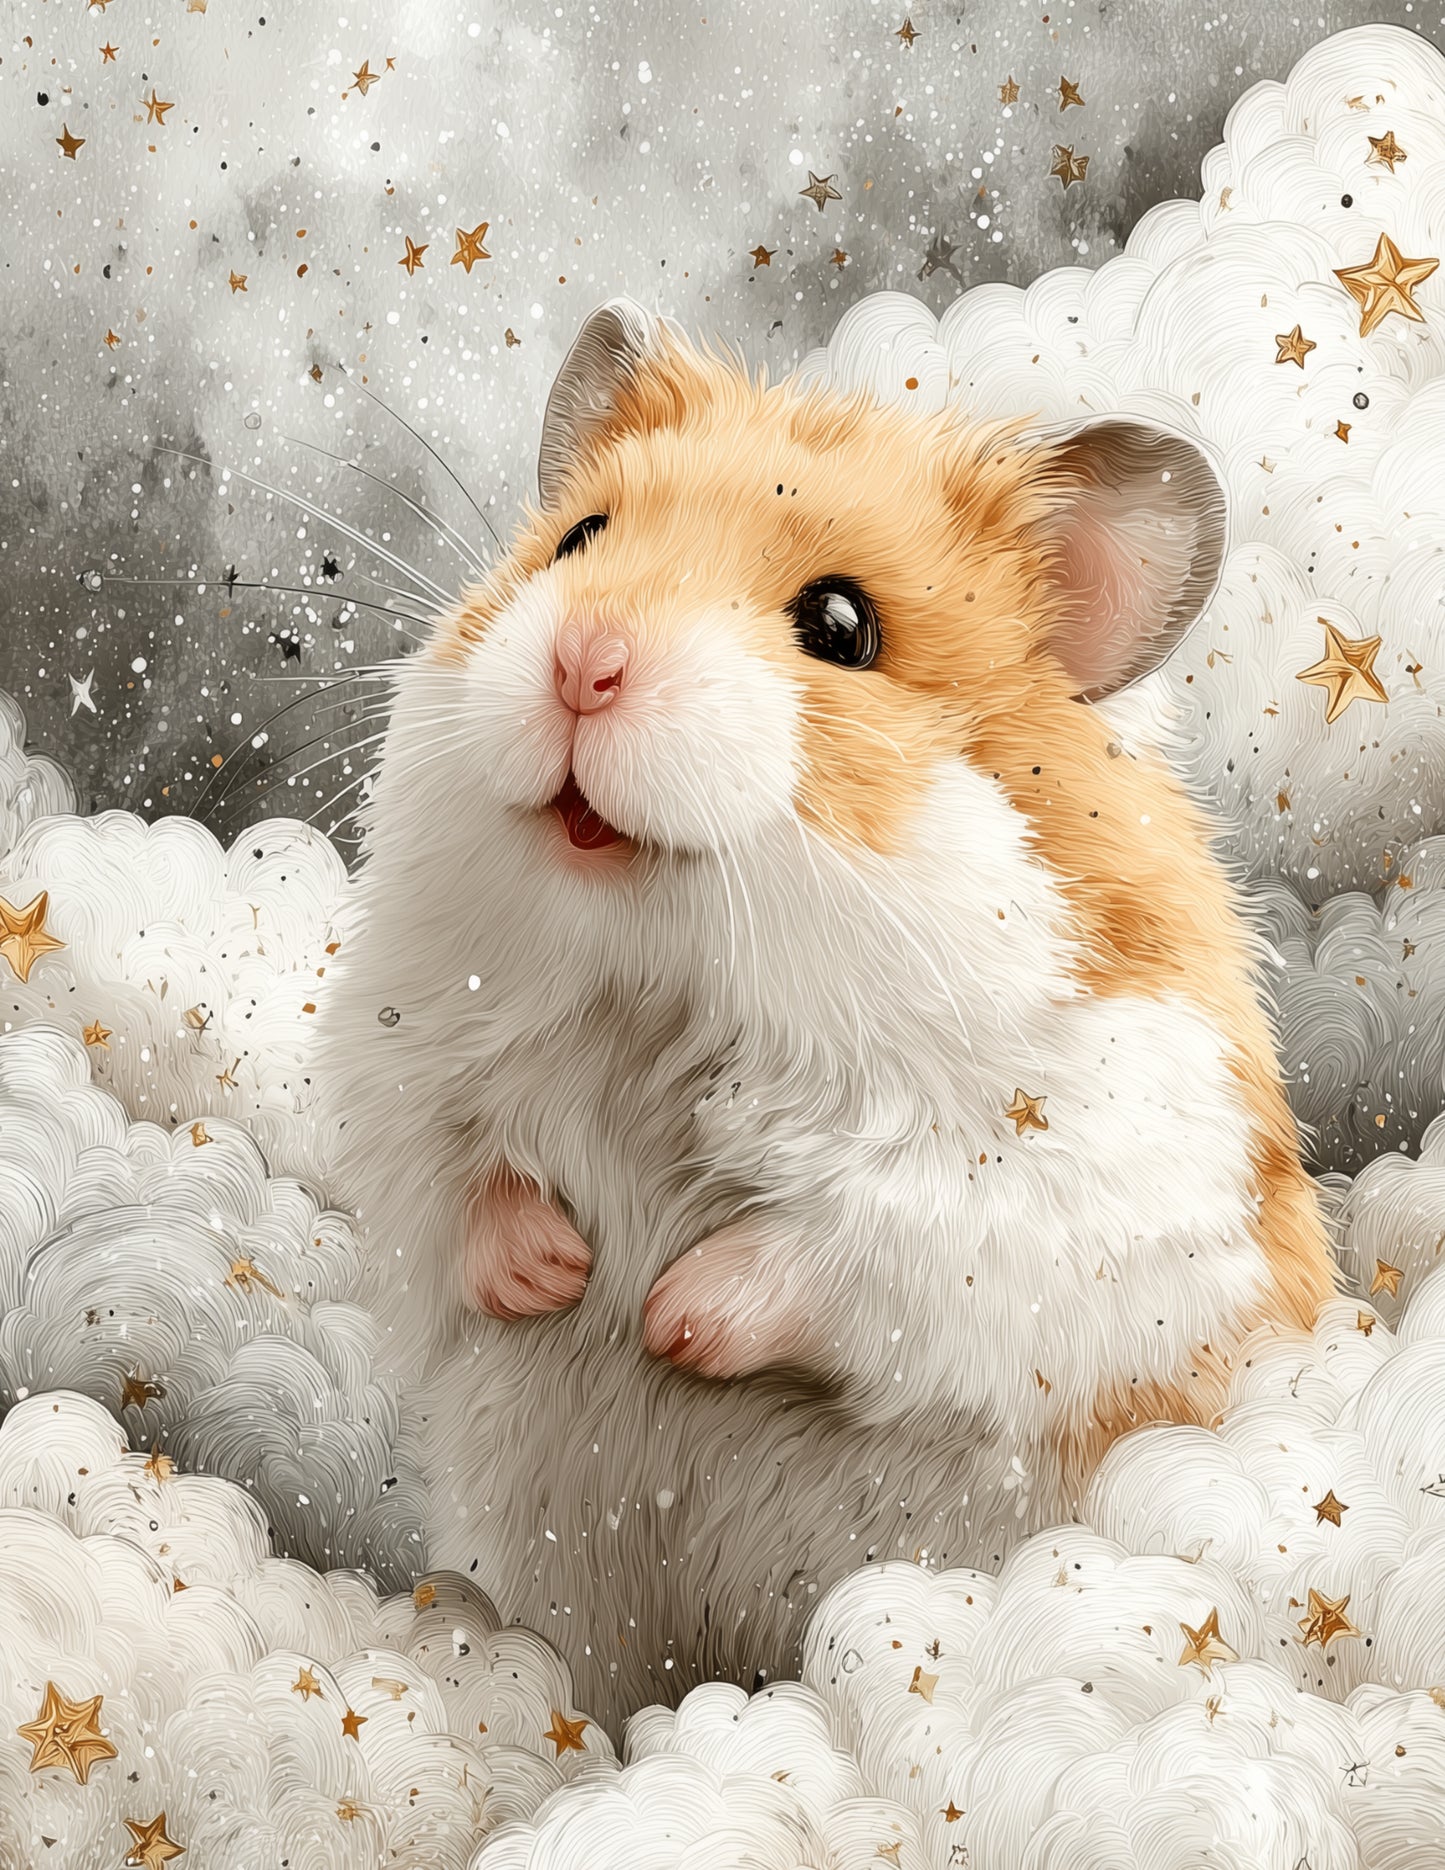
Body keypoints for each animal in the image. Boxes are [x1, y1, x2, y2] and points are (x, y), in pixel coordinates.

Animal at [315, 296, 1336, 1727]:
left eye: (841, 626)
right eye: (577, 539)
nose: (581, 663)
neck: (664, 985)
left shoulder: (1066, 1178)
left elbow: (845, 1240)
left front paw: (663, 1316)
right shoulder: (396, 1053)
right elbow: (457, 1182)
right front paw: (559, 1271)